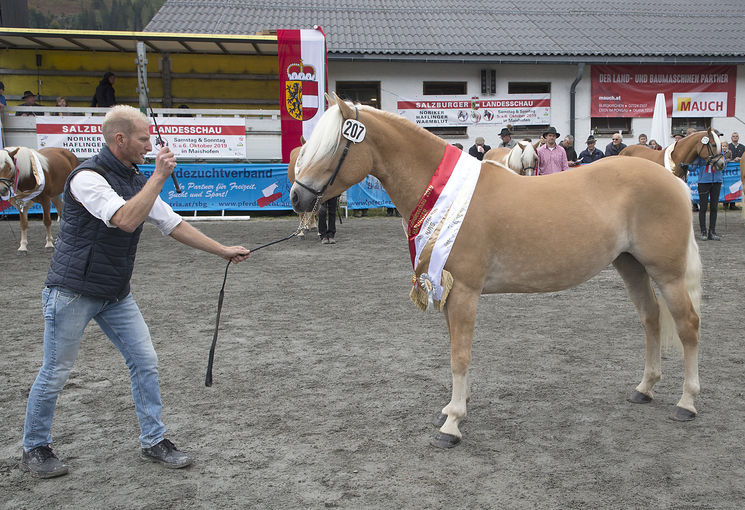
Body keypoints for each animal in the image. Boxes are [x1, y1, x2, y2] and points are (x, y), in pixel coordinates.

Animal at [290, 93, 704, 448]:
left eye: (333, 146)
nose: (297, 196)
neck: (447, 196)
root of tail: (672, 179)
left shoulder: (465, 292)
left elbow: (460, 354)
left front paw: (452, 424)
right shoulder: (448, 289)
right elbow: (455, 349)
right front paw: (454, 408)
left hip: (667, 273)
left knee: (687, 325)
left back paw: (687, 402)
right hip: (631, 265)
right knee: (651, 319)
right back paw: (644, 389)